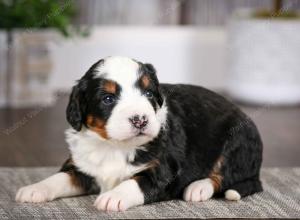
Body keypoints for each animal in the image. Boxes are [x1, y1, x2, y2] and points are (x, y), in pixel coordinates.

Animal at [15, 56, 262, 211]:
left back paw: (198, 188)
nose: (140, 119)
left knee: (229, 177)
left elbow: (135, 182)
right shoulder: (83, 167)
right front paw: (34, 189)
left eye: (148, 93)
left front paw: (113, 197)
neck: (114, 146)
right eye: (108, 98)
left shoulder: (163, 170)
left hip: (237, 142)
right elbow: (59, 178)